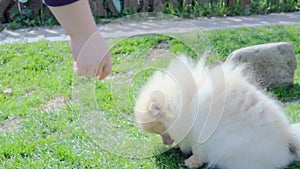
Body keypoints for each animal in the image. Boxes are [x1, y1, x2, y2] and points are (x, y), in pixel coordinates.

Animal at [134, 56, 300, 169]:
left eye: (161, 130)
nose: (165, 142)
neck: (189, 99)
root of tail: (288, 143)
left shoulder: (200, 133)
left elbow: (198, 151)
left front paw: (191, 162)